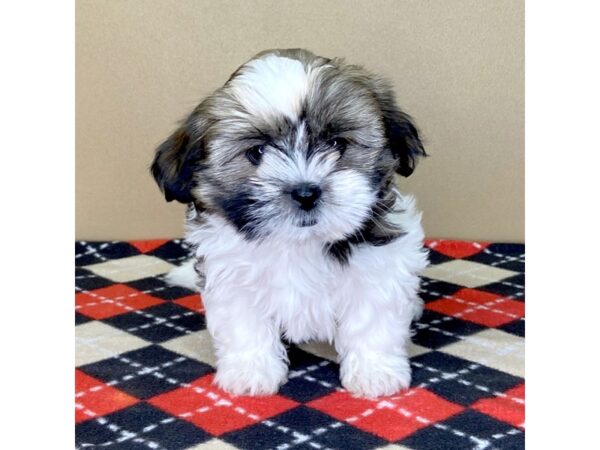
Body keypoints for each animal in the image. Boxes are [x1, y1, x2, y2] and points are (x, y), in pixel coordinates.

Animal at [152, 47, 428, 396]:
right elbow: (244, 323)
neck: (299, 243)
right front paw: (251, 370)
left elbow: (371, 319)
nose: (306, 192)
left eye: (337, 143)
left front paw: (375, 371)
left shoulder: (379, 266)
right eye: (257, 152)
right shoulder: (231, 275)